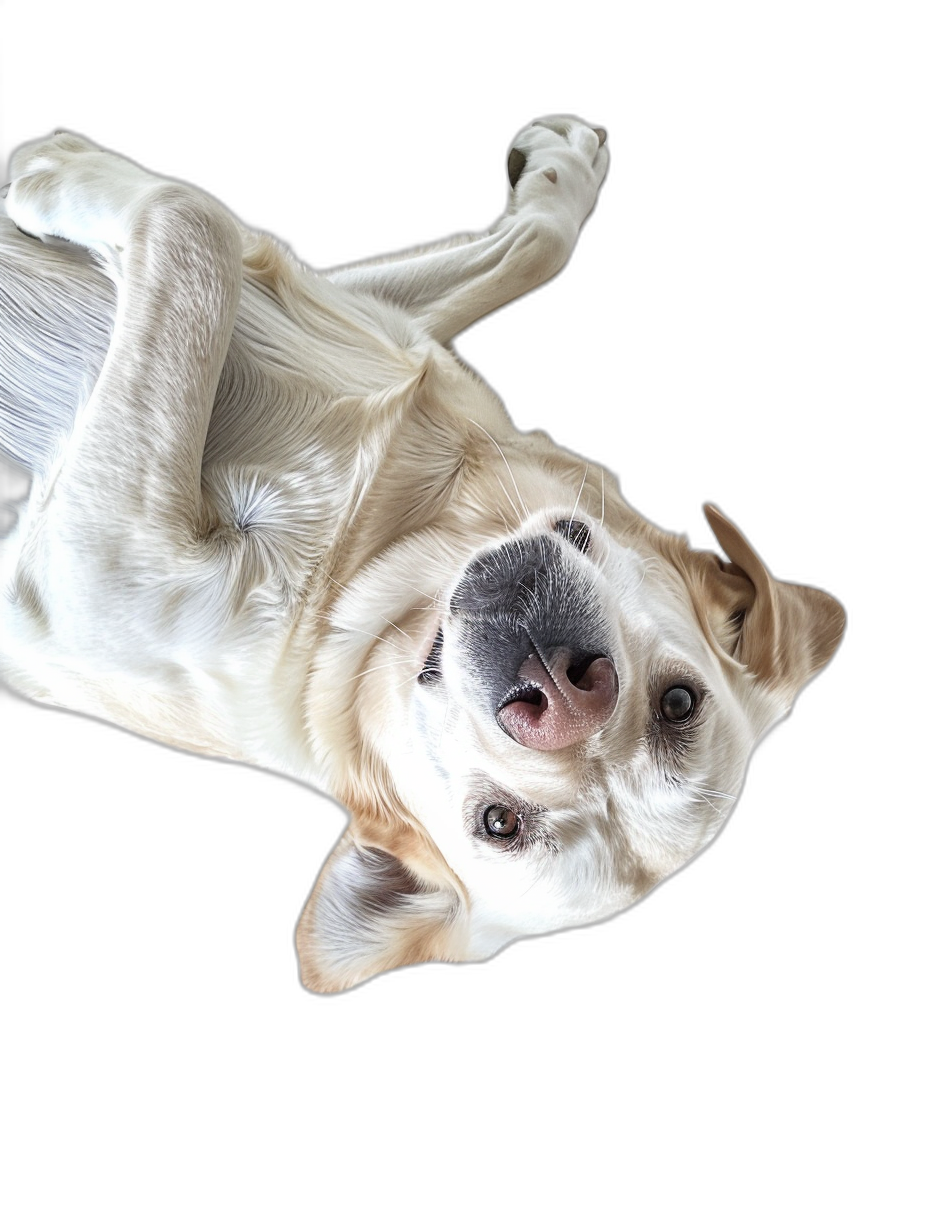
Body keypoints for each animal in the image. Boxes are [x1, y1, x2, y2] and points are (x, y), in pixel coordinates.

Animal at [0, 120, 842, 995]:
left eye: (497, 822)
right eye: (681, 704)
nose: (559, 698)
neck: (390, 534)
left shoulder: (87, 560)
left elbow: (191, 222)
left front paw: (54, 171)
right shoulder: (372, 314)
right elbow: (522, 248)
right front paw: (563, 172)